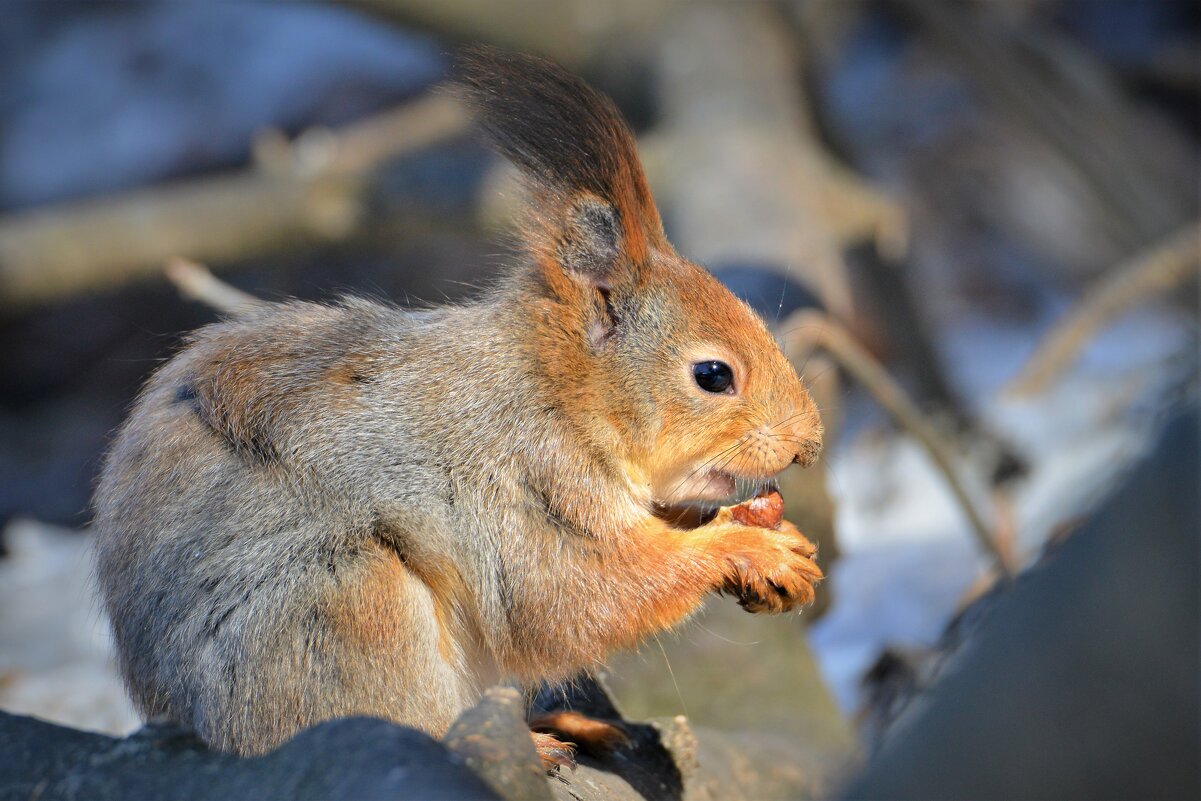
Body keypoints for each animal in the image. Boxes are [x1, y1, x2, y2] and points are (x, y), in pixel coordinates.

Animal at [93, 48, 826, 768]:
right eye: (713, 375)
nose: (809, 443)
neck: (557, 393)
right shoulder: (521, 479)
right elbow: (576, 594)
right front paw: (742, 546)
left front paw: (774, 535)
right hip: (343, 609)